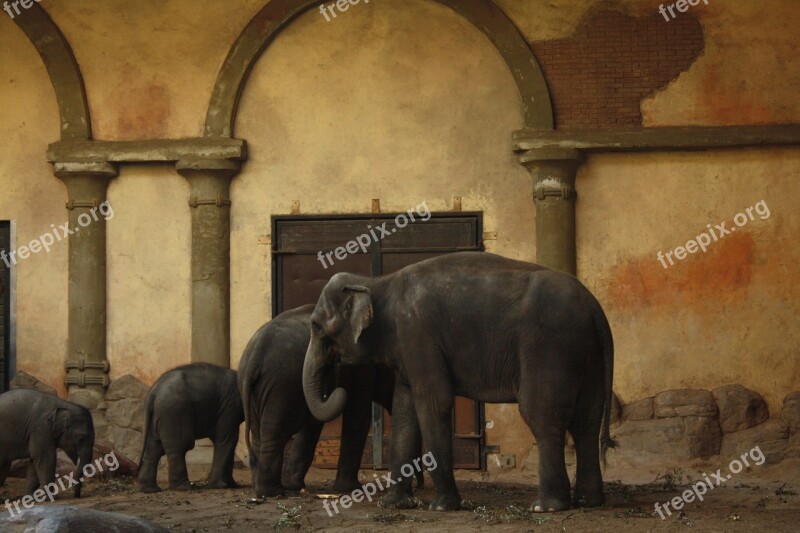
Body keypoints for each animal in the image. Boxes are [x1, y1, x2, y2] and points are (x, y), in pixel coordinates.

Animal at [138, 364, 244, 492]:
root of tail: (154, 391)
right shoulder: (230, 406)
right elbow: (227, 439)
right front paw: (220, 486)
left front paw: (232, 485)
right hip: (174, 412)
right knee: (179, 447)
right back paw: (184, 487)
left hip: (158, 415)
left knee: (153, 448)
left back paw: (150, 489)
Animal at [304, 251, 616, 512]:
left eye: (317, 327)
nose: (338, 384)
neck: (377, 282)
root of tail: (594, 306)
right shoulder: (407, 348)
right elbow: (404, 410)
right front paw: (395, 505)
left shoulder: (418, 336)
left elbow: (434, 404)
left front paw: (442, 507)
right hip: (586, 353)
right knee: (586, 421)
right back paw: (589, 501)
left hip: (550, 347)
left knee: (542, 416)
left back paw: (546, 507)